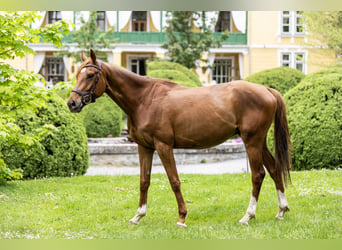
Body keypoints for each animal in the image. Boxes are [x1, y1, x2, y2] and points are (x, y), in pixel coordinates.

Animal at [67, 49, 292, 228]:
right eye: (77, 74)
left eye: (90, 75)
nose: (72, 103)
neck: (144, 99)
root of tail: (266, 90)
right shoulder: (144, 147)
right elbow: (144, 180)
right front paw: (138, 216)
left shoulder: (163, 146)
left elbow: (174, 180)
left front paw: (182, 217)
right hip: (259, 142)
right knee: (273, 169)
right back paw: (281, 210)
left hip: (251, 141)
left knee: (258, 175)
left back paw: (248, 216)